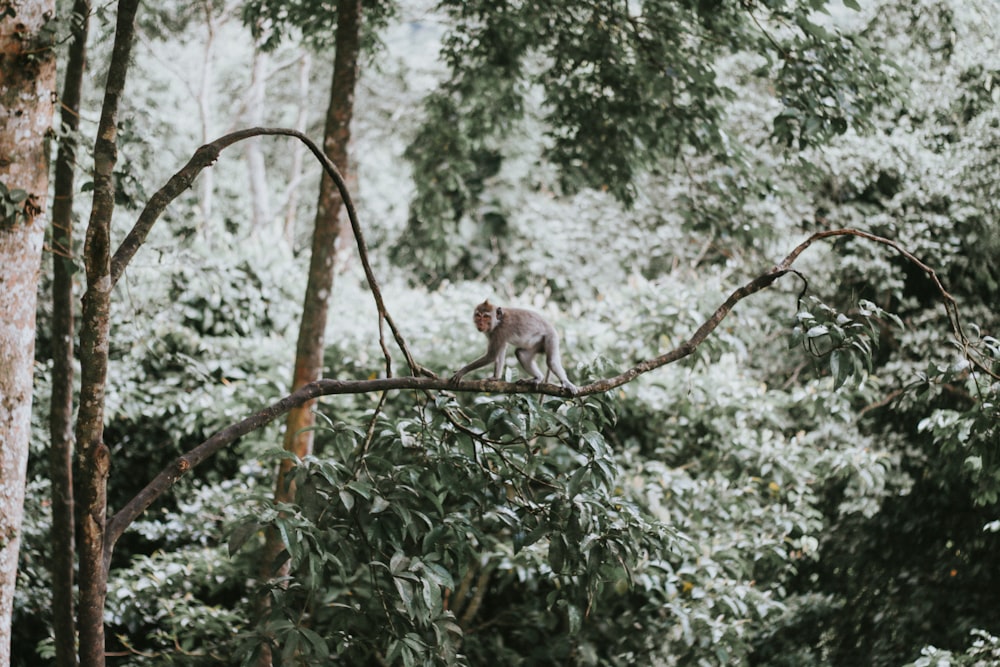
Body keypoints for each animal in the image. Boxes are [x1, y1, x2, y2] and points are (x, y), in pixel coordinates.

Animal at [452, 298, 584, 396]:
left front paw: (462, 371)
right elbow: (500, 353)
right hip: (537, 344)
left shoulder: (500, 331)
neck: (498, 322)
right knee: (521, 354)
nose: (480, 323)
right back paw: (538, 378)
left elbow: (491, 356)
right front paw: (495, 377)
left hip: (551, 337)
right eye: (478, 315)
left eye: (486, 317)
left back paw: (566, 382)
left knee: (551, 362)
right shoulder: (494, 333)